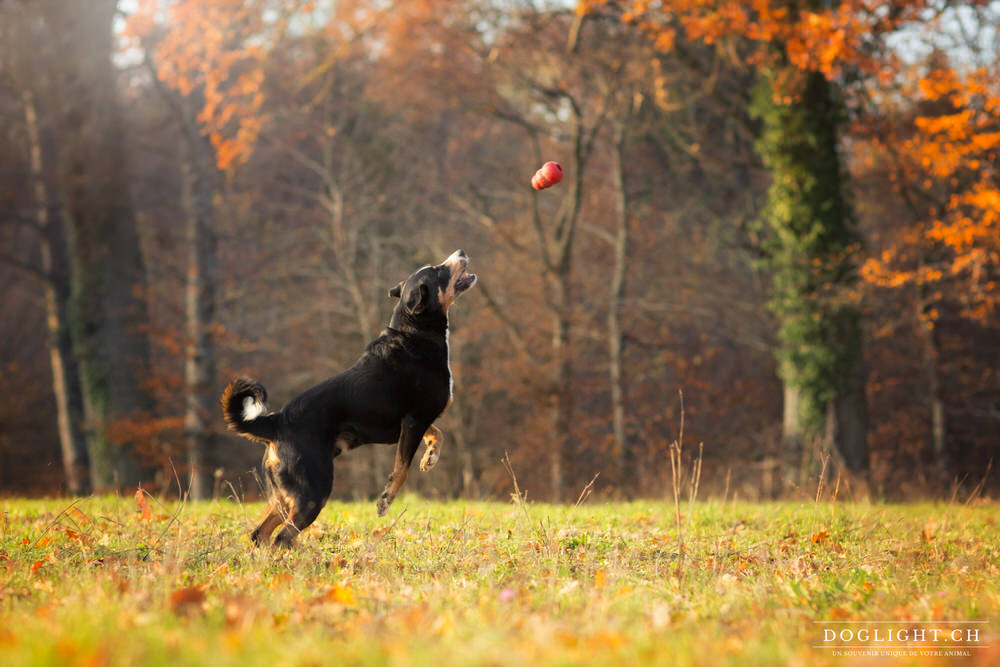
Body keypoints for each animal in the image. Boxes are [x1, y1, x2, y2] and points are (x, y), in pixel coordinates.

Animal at [221, 250, 478, 548]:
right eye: (438, 270)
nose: (461, 253)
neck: (415, 333)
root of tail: (276, 422)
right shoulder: (414, 421)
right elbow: (402, 468)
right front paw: (385, 500)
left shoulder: (416, 422)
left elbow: (438, 434)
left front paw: (430, 458)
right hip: (312, 493)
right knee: (282, 538)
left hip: (285, 497)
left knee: (260, 535)